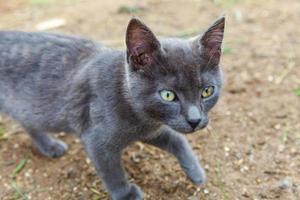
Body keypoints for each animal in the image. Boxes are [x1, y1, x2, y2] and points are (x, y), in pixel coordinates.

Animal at [0, 17, 225, 200]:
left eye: (207, 91)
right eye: (168, 95)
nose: (195, 120)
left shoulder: (149, 130)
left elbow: (176, 139)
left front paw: (195, 171)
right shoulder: (97, 141)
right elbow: (112, 172)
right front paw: (126, 194)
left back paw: (50, 146)